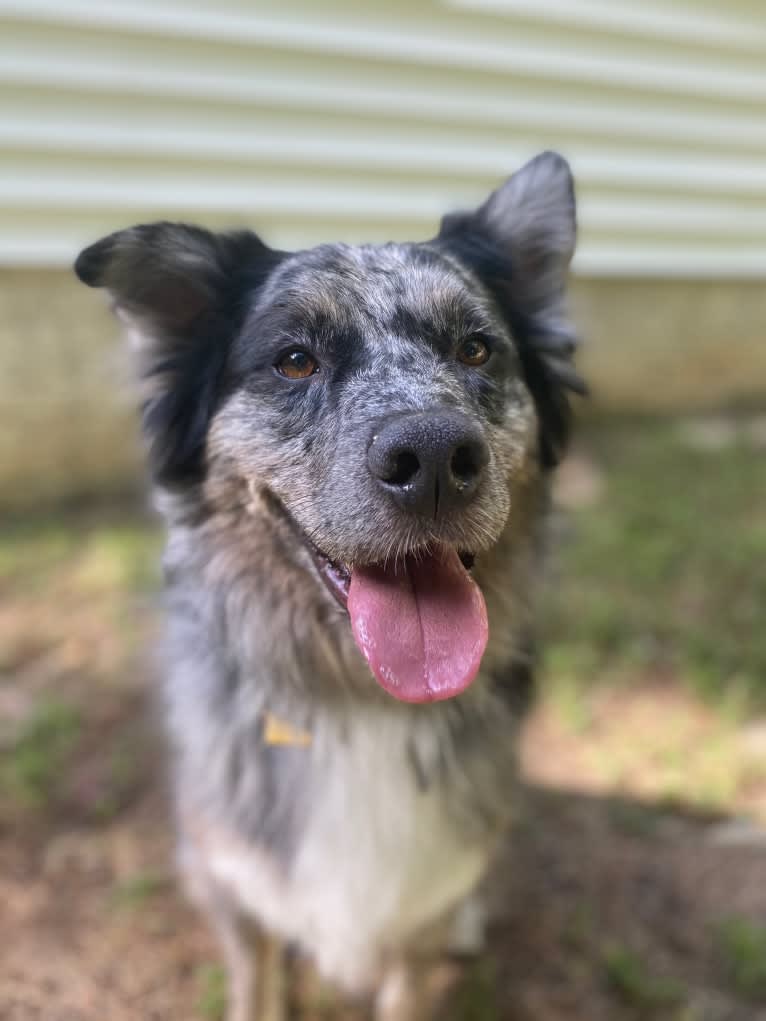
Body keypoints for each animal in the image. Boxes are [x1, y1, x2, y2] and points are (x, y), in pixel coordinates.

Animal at [76, 151, 580, 1021]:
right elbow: (256, 987)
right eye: (294, 360)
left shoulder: (419, 908)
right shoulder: (237, 885)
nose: (435, 457)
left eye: (476, 350)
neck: (357, 703)